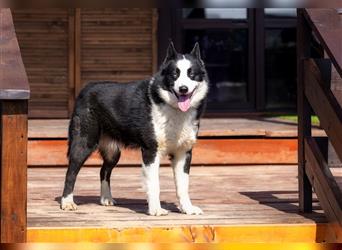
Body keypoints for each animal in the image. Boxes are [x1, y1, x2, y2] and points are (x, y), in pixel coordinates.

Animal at [60, 42, 208, 216]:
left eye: (192, 74)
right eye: (174, 75)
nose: (183, 88)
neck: (174, 109)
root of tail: (85, 89)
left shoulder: (183, 153)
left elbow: (183, 185)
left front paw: (187, 208)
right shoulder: (151, 151)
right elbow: (154, 184)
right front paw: (156, 209)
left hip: (113, 152)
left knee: (104, 171)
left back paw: (106, 198)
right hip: (83, 143)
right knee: (71, 172)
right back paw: (67, 202)